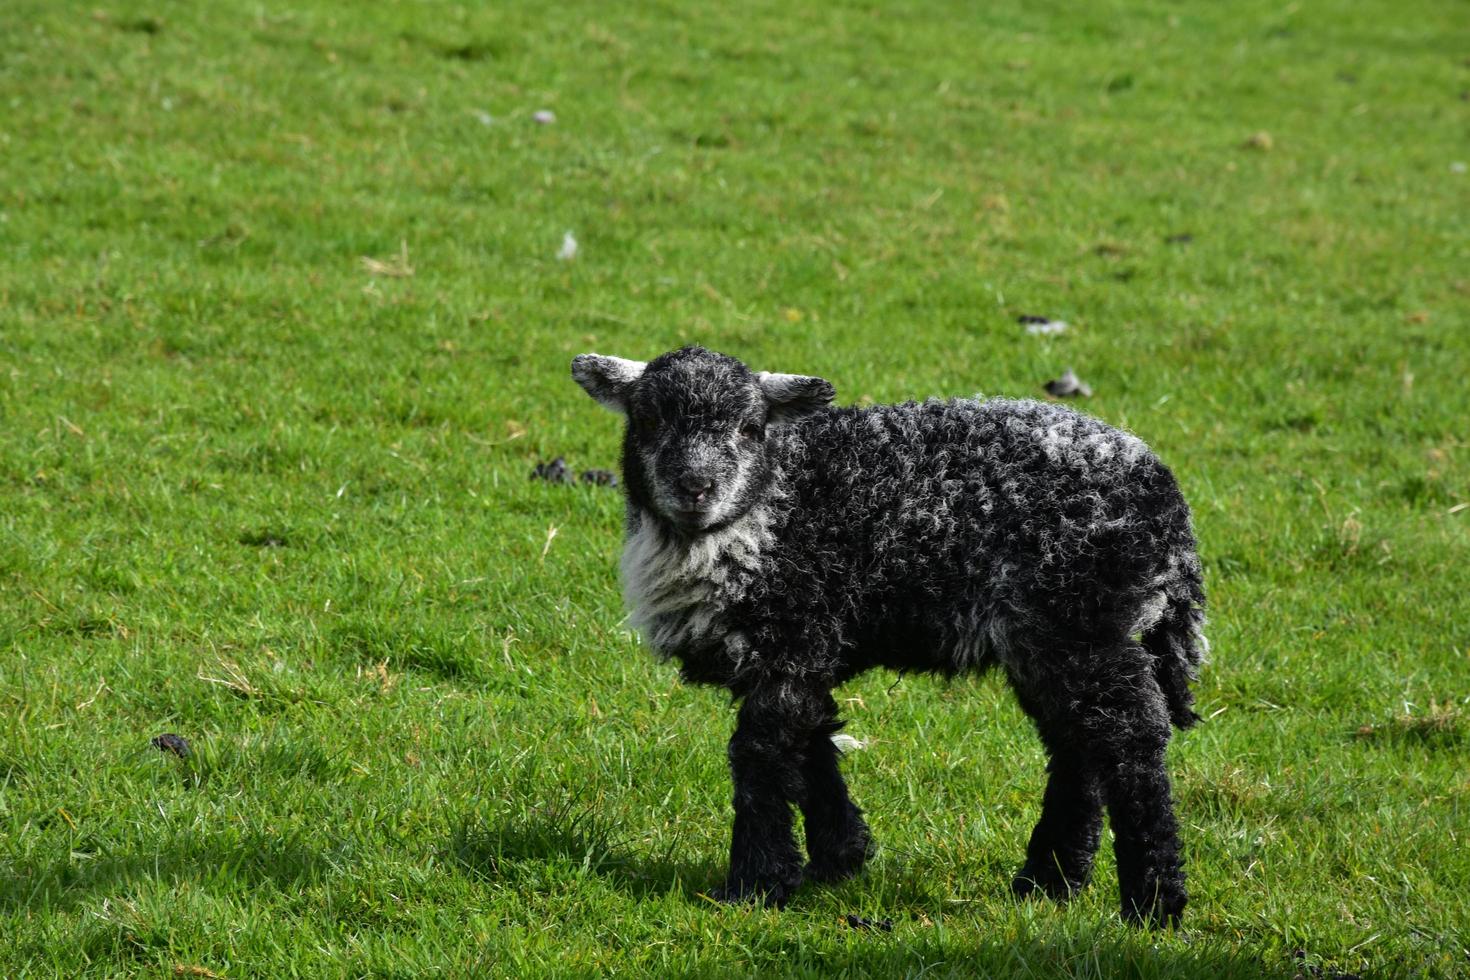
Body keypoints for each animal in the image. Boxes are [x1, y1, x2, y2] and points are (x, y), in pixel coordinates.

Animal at [570, 345, 1205, 928]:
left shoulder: (793, 633)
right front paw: (840, 857)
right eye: (647, 421)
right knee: (1078, 744)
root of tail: (1167, 503)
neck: (765, 513)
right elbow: (811, 738)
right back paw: (1049, 882)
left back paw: (1153, 901)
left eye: (751, 428)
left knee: (1129, 736)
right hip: (1048, 637)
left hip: (1080, 620)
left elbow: (761, 751)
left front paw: (756, 882)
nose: (695, 487)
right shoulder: (805, 647)